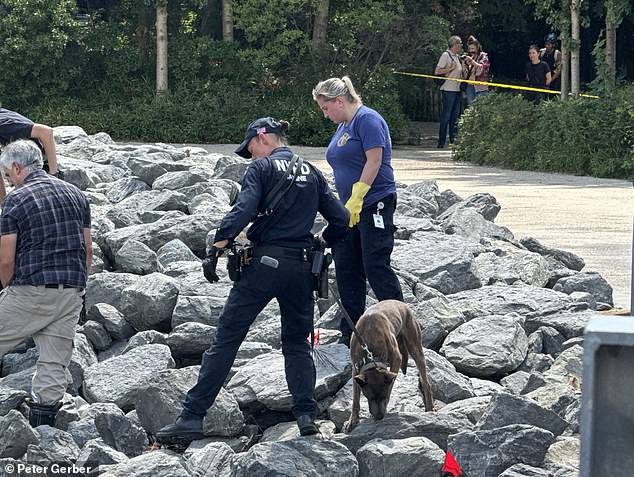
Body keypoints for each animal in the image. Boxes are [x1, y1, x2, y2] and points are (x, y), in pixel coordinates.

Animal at [340, 302, 434, 432]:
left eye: (383, 397)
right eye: (370, 398)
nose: (379, 417)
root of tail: (402, 304)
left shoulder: (396, 360)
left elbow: (390, 387)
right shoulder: (356, 368)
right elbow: (355, 398)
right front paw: (352, 420)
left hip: (415, 347)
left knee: (426, 382)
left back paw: (430, 406)